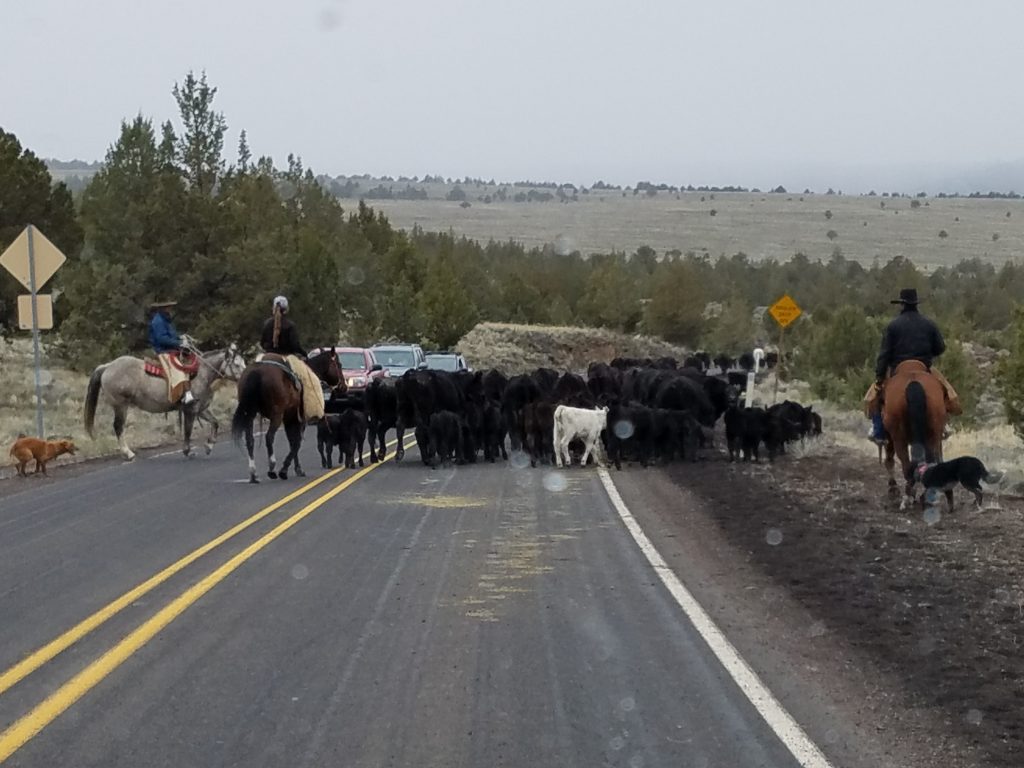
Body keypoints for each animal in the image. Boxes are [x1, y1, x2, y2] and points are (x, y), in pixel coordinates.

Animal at [82, 346, 244, 460]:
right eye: (236, 364)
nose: (245, 377)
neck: (200, 374)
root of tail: (107, 367)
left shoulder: (201, 409)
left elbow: (215, 423)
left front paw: (209, 446)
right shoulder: (190, 410)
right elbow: (188, 431)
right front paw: (187, 451)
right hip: (121, 406)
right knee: (118, 427)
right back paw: (129, 453)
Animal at [232, 352, 344, 483]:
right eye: (339, 365)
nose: (344, 386)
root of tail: (256, 372)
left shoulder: (288, 420)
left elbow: (292, 442)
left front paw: (297, 469)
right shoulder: (299, 421)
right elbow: (296, 443)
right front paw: (285, 470)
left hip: (250, 414)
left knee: (250, 440)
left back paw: (253, 474)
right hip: (277, 415)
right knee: (269, 437)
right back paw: (272, 468)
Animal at [880, 362, 950, 512]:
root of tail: (913, 381)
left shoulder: (890, 437)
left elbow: (889, 460)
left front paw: (893, 488)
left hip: (899, 437)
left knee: (906, 464)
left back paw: (908, 496)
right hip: (933, 434)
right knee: (929, 461)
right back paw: (926, 496)